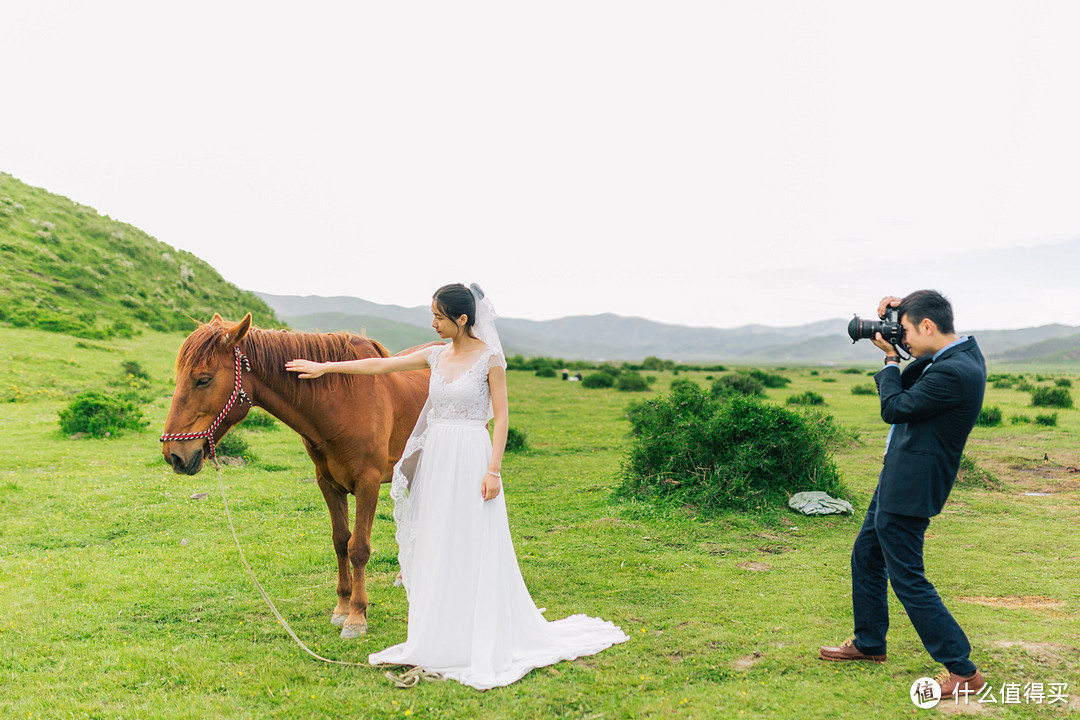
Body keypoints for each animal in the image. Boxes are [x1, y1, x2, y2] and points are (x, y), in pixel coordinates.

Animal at [159, 313, 429, 639]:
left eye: (203, 379)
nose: (174, 455)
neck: (345, 400)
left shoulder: (368, 482)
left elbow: (359, 548)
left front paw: (356, 616)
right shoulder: (328, 482)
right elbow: (341, 541)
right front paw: (342, 607)